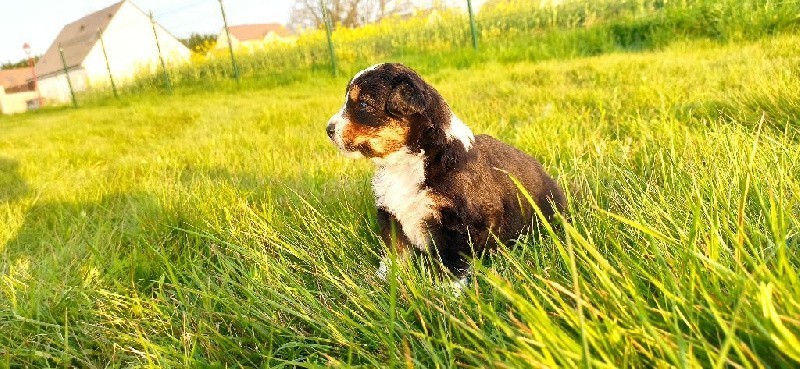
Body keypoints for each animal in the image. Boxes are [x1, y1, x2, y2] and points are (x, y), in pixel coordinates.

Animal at [322, 63, 564, 282]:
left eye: (363, 104)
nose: (328, 130)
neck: (407, 163)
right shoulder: (391, 213)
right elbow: (394, 250)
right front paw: (384, 279)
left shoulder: (462, 223)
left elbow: (452, 261)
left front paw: (448, 292)